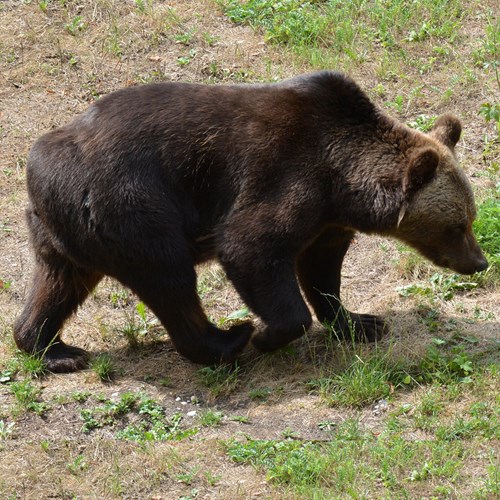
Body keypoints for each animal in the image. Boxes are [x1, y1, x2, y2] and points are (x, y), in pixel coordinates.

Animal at [14, 72, 488, 374]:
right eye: (457, 225)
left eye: (471, 217)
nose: (479, 262)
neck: (340, 181)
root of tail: (37, 166)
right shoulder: (283, 173)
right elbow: (251, 246)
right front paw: (269, 334)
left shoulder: (326, 220)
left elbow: (322, 270)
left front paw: (361, 321)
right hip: (130, 203)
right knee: (168, 277)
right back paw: (229, 339)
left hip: (64, 231)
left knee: (58, 282)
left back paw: (53, 348)